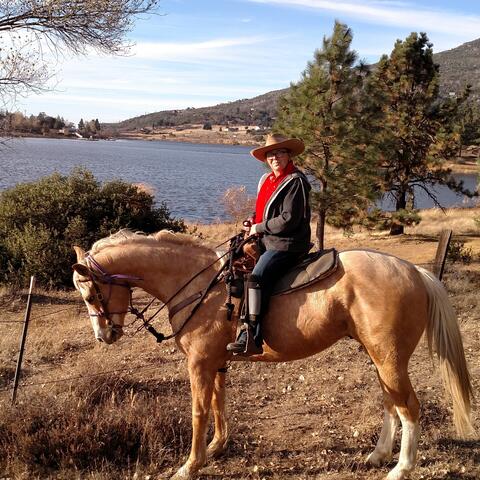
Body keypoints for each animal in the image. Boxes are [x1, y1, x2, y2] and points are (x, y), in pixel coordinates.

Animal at [73, 230, 474, 480]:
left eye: (91, 294)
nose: (104, 335)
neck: (200, 283)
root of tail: (415, 272)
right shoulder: (216, 362)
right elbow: (218, 404)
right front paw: (216, 447)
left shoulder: (199, 363)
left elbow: (199, 411)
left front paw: (190, 465)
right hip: (379, 358)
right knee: (393, 404)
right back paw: (379, 455)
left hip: (389, 359)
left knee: (410, 408)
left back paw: (401, 468)